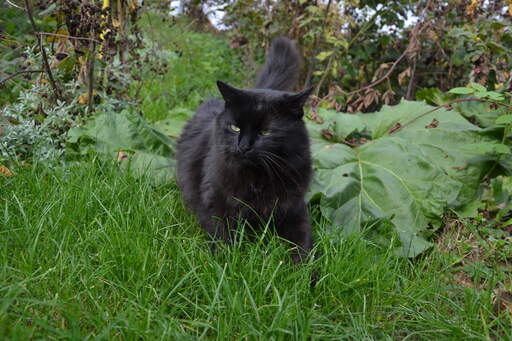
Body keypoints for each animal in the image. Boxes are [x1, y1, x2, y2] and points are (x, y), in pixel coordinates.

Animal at [175, 35, 312, 262]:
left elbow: (303, 244)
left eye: (266, 132)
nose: (244, 146)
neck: (257, 179)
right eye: (235, 127)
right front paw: (225, 265)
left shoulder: (294, 208)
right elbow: (222, 238)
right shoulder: (216, 201)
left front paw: (306, 270)